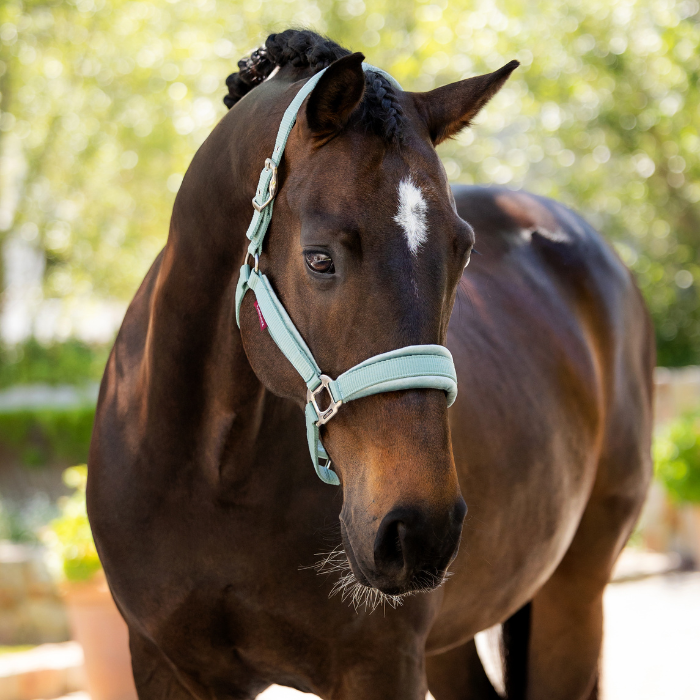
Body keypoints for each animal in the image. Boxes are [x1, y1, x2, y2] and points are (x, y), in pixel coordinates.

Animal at [86, 28, 652, 700]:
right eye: (319, 259)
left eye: (462, 252)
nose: (419, 529)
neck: (209, 472)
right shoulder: (165, 665)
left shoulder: (380, 665)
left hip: (573, 598)